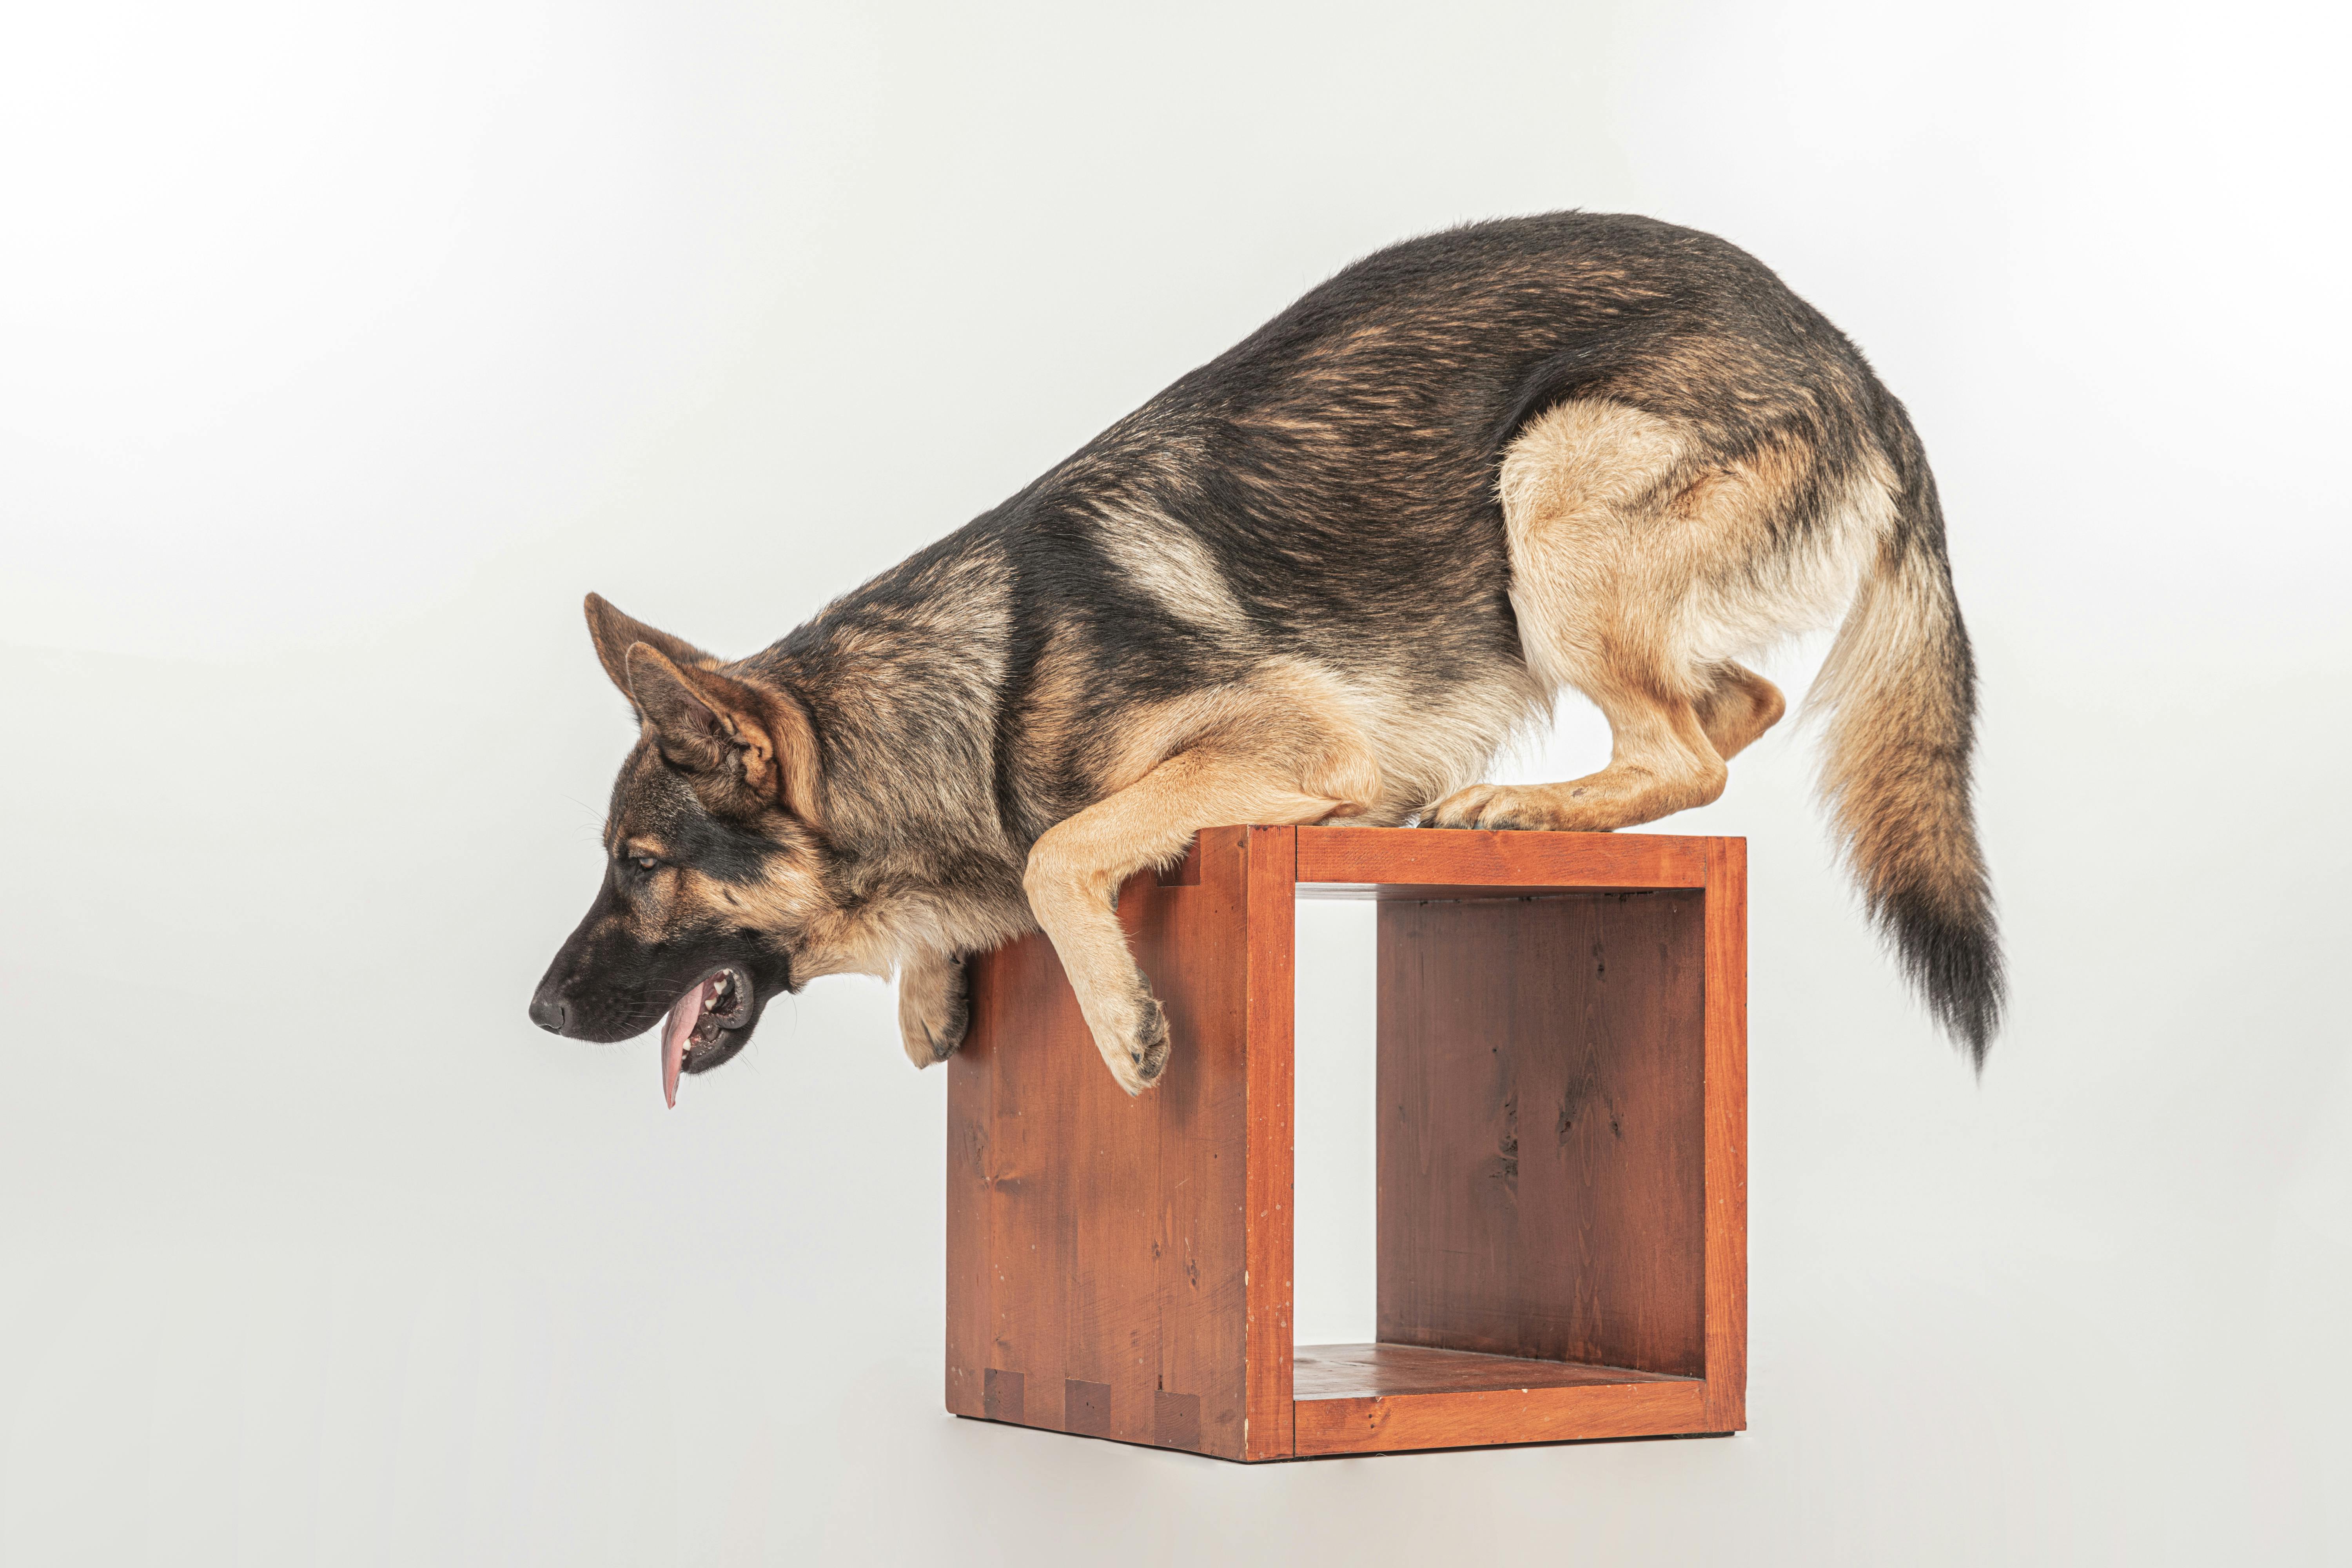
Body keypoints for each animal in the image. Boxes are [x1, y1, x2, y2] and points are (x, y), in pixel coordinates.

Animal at [529, 215, 2004, 1105]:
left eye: (639, 867)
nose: (539, 1014)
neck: (982, 690)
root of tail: (1856, 365)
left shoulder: (1287, 739)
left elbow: (1058, 849)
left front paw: (1116, 1018)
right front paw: (932, 983)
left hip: (1550, 488)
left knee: (1688, 756)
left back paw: (1519, 806)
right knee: (1742, 700)